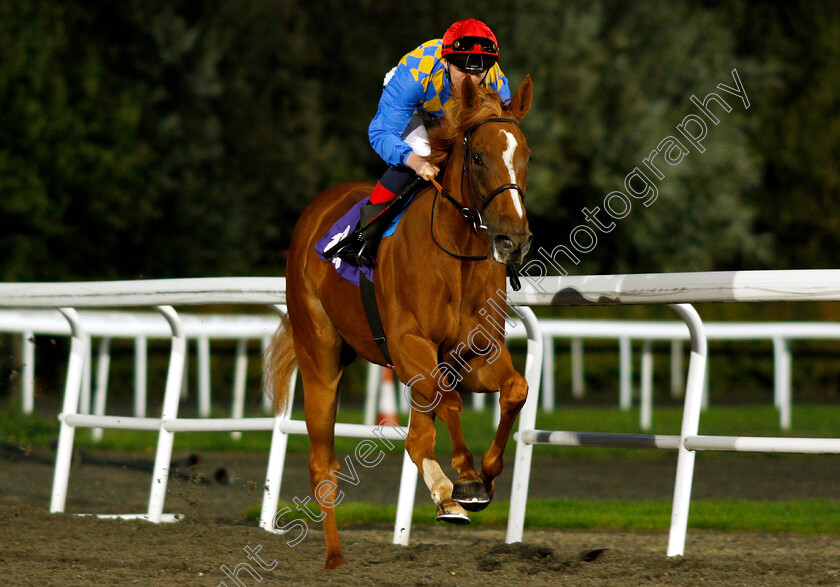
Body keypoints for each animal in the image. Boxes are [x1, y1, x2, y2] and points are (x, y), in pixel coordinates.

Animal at [266, 74, 536, 568]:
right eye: (478, 156)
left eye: (525, 155)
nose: (514, 239)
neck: (455, 256)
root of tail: (316, 211)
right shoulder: (409, 343)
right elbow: (436, 414)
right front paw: (457, 485)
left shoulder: (477, 351)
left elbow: (514, 389)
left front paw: (482, 477)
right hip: (320, 356)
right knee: (322, 463)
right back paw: (335, 557)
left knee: (430, 421)